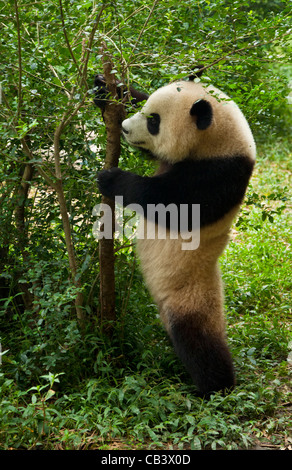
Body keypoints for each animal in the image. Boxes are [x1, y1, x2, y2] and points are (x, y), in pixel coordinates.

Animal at [97, 74, 256, 396]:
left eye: (154, 121)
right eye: (144, 109)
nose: (125, 128)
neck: (219, 141)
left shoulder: (220, 174)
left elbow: (170, 204)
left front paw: (111, 179)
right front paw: (105, 91)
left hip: (190, 295)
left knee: (198, 341)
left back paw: (216, 388)